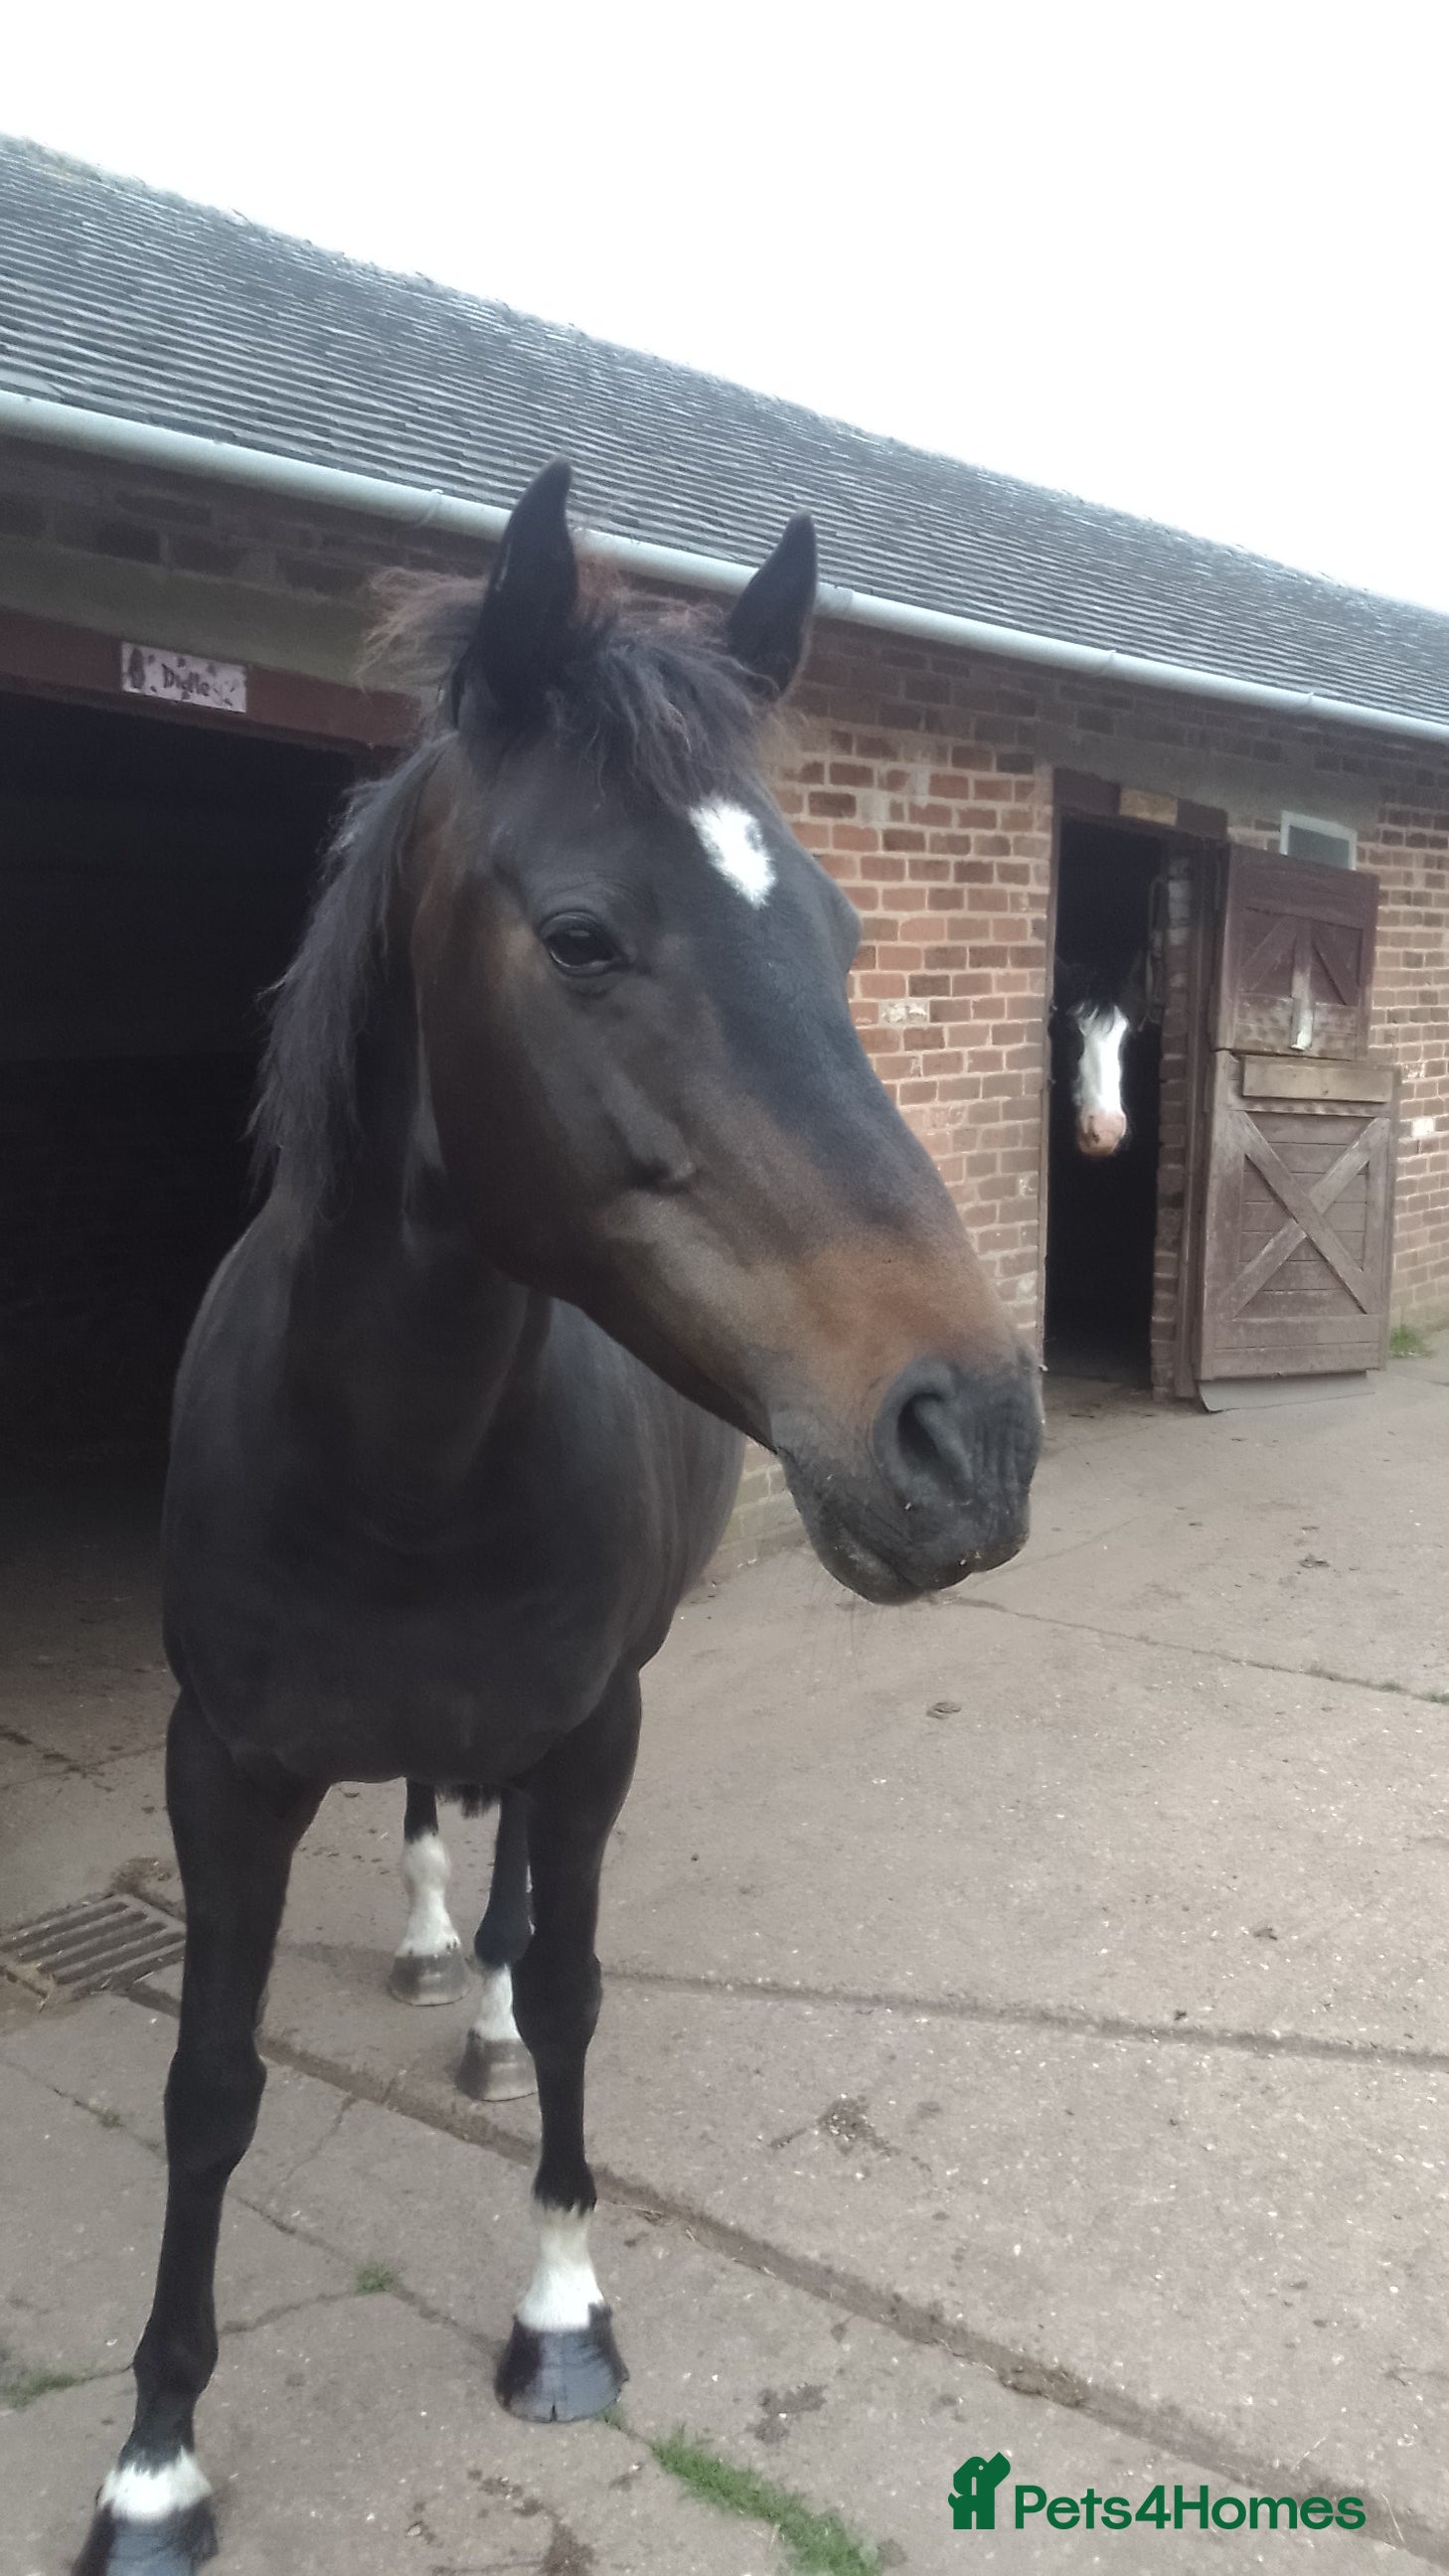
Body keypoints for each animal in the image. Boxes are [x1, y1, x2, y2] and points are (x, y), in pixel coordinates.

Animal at [75, 460, 1041, 2576]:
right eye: (585, 935)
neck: (392, 1463)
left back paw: (490, 1991)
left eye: (841, 929)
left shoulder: (597, 1728)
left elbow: (587, 2003)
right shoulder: (223, 1764)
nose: (972, 1435)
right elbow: (206, 2083)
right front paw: (154, 2461)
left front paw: (561, 2317)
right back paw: (442, 1940)